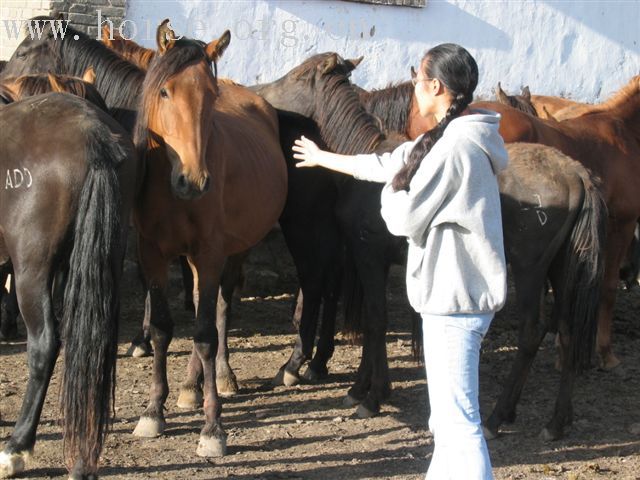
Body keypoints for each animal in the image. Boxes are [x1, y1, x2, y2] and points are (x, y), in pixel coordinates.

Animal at [130, 23, 284, 458]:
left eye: (211, 96)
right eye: (165, 92)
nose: (194, 181)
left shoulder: (211, 254)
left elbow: (205, 334)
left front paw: (213, 428)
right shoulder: (152, 255)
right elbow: (162, 330)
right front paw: (153, 411)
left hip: (235, 251)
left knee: (219, 310)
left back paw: (222, 378)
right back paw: (189, 387)